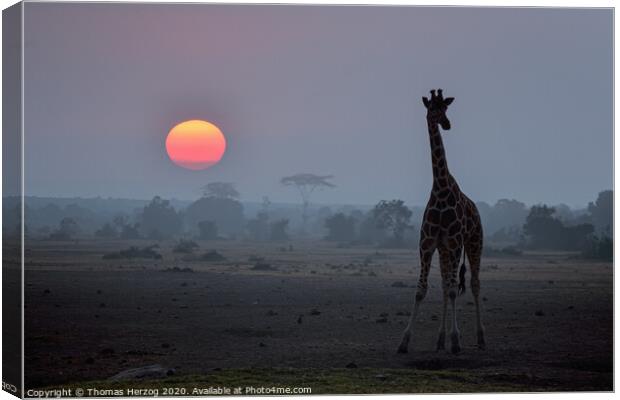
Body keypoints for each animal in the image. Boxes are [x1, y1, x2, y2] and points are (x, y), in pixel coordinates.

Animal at [398, 89, 484, 354]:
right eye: (432, 109)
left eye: (446, 108)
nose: (447, 124)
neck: (441, 189)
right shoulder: (427, 245)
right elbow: (421, 290)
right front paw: (404, 341)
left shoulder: (456, 243)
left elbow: (456, 289)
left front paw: (456, 341)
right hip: (445, 251)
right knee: (447, 286)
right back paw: (439, 340)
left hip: (474, 243)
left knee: (474, 284)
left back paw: (480, 338)